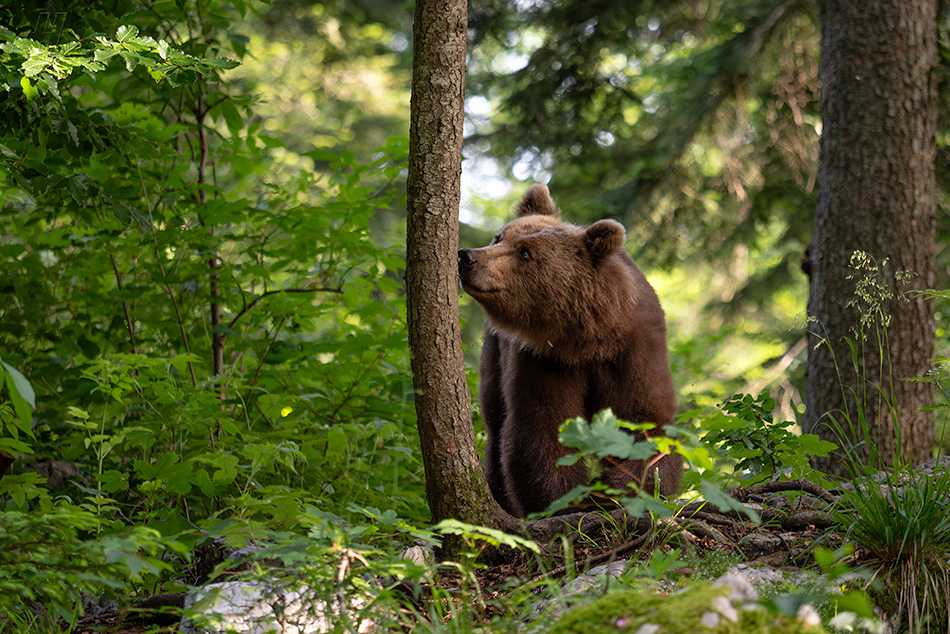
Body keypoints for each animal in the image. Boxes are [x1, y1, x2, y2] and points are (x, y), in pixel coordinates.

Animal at [458, 181, 680, 512]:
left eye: (525, 253)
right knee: (496, 421)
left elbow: (642, 421)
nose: (467, 256)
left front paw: (628, 491)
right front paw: (567, 500)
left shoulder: (634, 351)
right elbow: (541, 426)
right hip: (495, 352)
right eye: (499, 237)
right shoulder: (542, 358)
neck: (587, 340)